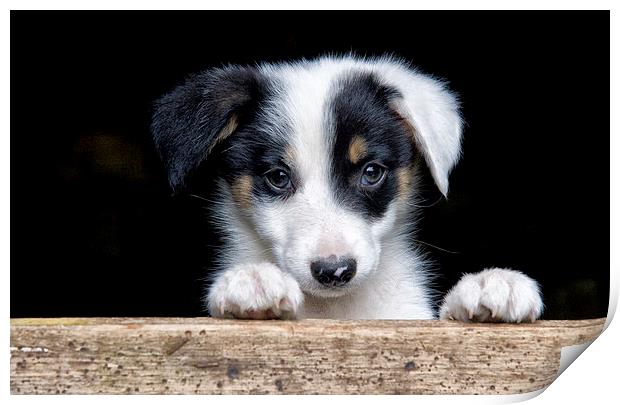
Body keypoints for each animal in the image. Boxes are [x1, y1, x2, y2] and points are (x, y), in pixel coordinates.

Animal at [153, 55, 544, 322]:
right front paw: (252, 281)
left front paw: (488, 286)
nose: (335, 271)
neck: (335, 309)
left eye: (371, 172)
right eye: (277, 177)